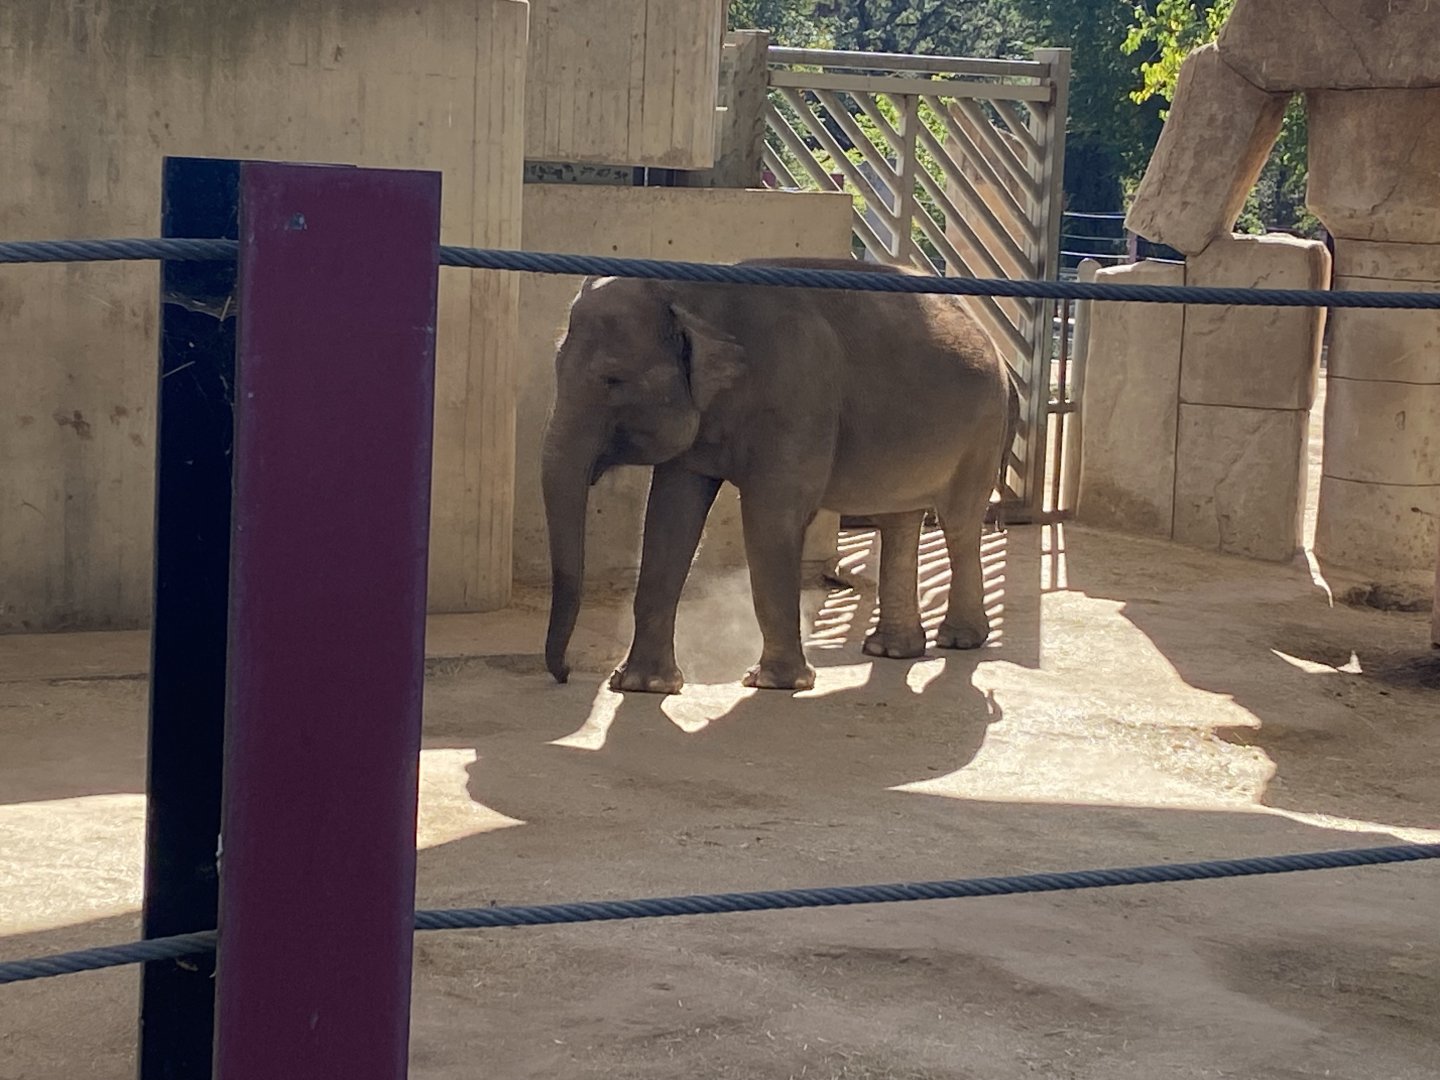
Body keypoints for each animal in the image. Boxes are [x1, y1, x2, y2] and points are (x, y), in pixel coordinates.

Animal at [542, 256, 1020, 694]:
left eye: (612, 379)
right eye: (556, 367)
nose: (564, 675)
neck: (694, 292)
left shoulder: (797, 394)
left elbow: (770, 518)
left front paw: (773, 682)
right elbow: (669, 518)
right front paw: (642, 685)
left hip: (983, 427)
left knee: (959, 523)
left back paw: (958, 641)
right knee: (900, 519)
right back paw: (891, 650)